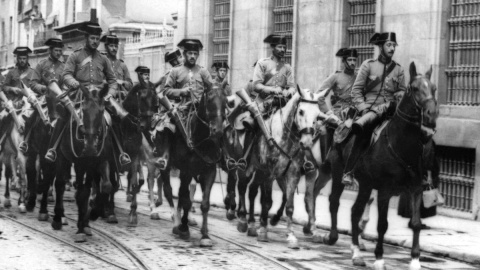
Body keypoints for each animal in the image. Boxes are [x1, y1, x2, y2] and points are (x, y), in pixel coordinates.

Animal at [240, 88, 326, 249]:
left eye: (318, 115)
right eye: (301, 111)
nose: (306, 143)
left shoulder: (293, 173)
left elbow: (292, 204)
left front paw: (291, 236)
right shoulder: (270, 173)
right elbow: (267, 202)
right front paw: (264, 231)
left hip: (261, 172)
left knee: (253, 190)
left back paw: (252, 225)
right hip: (247, 167)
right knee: (242, 186)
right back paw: (243, 221)